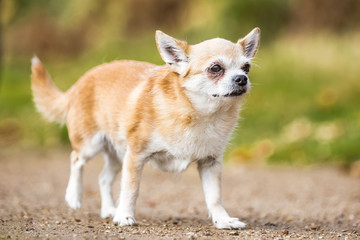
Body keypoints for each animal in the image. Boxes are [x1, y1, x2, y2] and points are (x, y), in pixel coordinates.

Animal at [31, 28, 260, 229]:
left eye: (246, 67)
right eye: (215, 68)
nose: (242, 79)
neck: (199, 113)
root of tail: (82, 80)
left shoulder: (210, 163)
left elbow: (214, 197)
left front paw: (223, 220)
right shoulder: (136, 156)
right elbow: (131, 189)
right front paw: (125, 216)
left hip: (117, 155)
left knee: (103, 178)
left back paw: (109, 209)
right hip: (91, 144)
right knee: (76, 159)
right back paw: (74, 195)